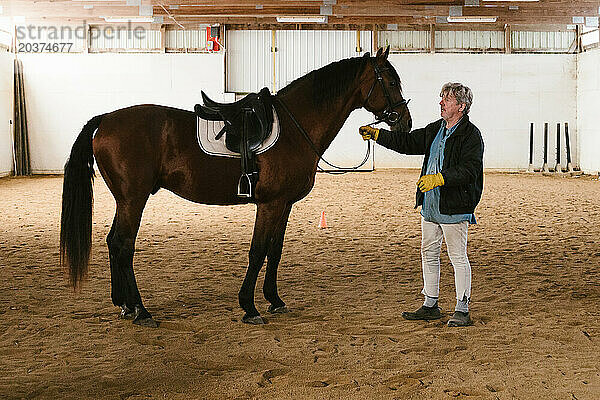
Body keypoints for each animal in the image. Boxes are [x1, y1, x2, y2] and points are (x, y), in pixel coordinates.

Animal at [59, 47, 412, 328]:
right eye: (391, 81)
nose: (405, 122)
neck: (296, 127)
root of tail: (106, 119)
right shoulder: (270, 204)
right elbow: (258, 251)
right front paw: (249, 306)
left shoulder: (285, 204)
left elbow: (275, 251)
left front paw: (274, 299)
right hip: (134, 199)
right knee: (124, 245)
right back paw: (141, 310)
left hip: (126, 200)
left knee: (113, 243)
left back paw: (124, 304)